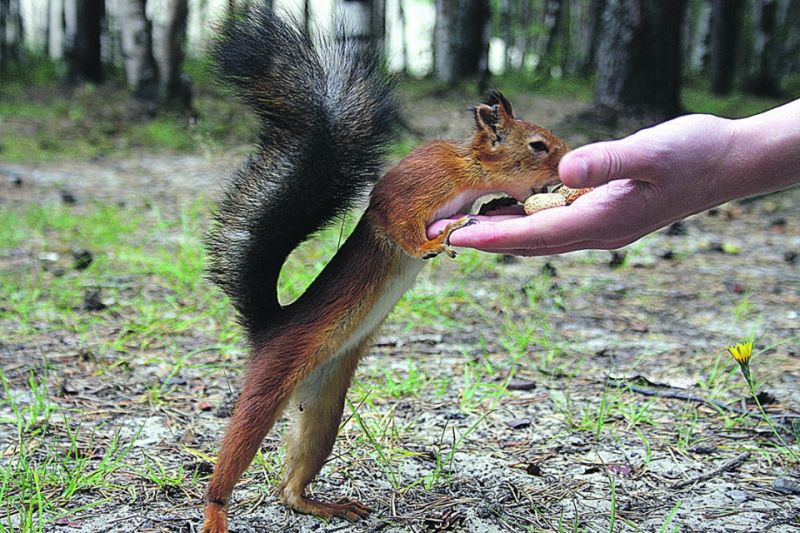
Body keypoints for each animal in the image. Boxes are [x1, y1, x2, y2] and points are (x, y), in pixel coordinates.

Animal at [203, 8, 572, 532]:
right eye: (539, 145)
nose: (571, 156)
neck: (469, 171)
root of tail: (270, 325)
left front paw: (499, 204)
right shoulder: (413, 188)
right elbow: (400, 225)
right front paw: (437, 239)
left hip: (324, 407)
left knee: (289, 487)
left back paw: (321, 505)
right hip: (269, 383)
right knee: (234, 456)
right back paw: (216, 509)